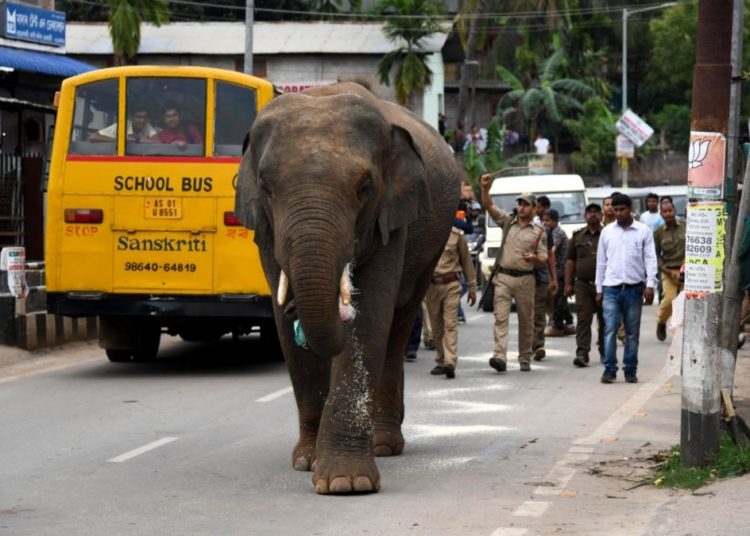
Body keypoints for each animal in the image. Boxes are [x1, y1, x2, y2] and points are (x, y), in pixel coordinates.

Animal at [235, 82, 460, 494]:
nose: (298, 312)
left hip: (432, 243)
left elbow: (368, 316)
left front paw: (345, 483)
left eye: (365, 188)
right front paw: (307, 462)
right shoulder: (265, 233)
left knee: (398, 325)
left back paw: (384, 444)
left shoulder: (392, 218)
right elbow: (283, 326)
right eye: (266, 187)